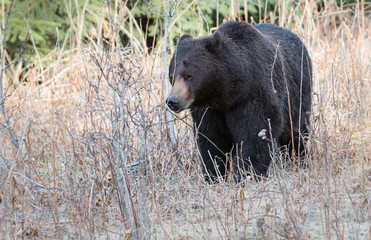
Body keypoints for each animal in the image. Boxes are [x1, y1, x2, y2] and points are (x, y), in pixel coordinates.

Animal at [167, 21, 312, 183]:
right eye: (172, 75)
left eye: (189, 75)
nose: (172, 101)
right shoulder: (211, 110)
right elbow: (211, 140)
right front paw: (214, 174)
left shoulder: (252, 96)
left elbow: (256, 133)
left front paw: (246, 174)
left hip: (297, 93)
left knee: (296, 131)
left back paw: (298, 159)